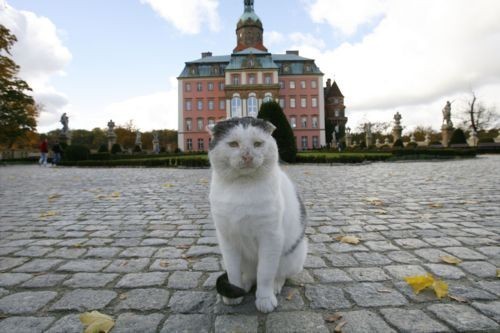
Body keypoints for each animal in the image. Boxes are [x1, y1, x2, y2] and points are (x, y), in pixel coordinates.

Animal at [207, 116, 308, 312]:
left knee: (277, 274)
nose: (247, 155)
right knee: (248, 275)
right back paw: (244, 285)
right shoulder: (227, 238)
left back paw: (275, 286)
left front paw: (265, 298)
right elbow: (232, 271)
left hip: (294, 255)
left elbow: (265, 273)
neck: (243, 188)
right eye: (233, 144)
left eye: (257, 144)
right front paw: (234, 292)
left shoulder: (271, 237)